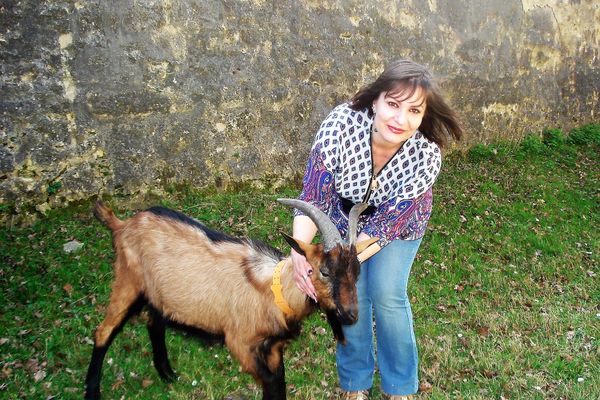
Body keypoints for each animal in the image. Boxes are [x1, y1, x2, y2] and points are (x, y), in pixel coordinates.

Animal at [85, 198, 378, 398]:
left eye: (357, 271)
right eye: (324, 271)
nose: (351, 315)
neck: (272, 292)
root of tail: (123, 225)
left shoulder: (273, 348)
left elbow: (279, 381)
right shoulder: (241, 345)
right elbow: (272, 384)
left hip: (158, 293)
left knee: (153, 323)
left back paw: (167, 374)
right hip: (128, 280)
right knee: (104, 331)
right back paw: (93, 390)